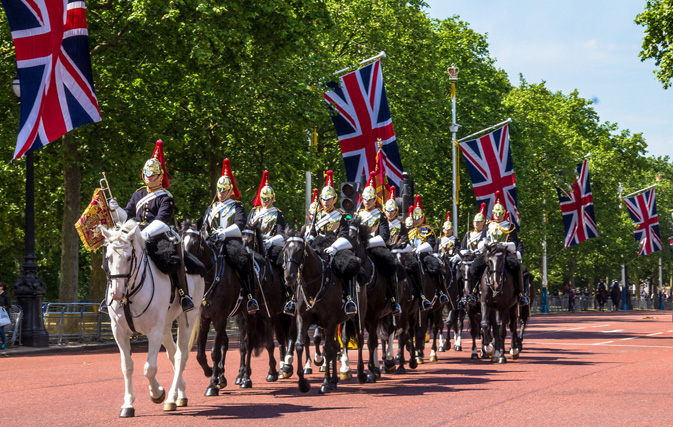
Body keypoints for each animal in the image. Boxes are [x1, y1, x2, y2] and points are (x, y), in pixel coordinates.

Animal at [100, 221, 205, 418]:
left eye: (128, 258)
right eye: (108, 257)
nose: (116, 293)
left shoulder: (154, 331)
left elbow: (150, 368)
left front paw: (157, 393)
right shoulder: (119, 331)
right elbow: (127, 366)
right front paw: (128, 404)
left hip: (187, 318)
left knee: (180, 356)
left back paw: (171, 398)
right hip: (166, 326)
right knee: (172, 354)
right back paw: (180, 394)